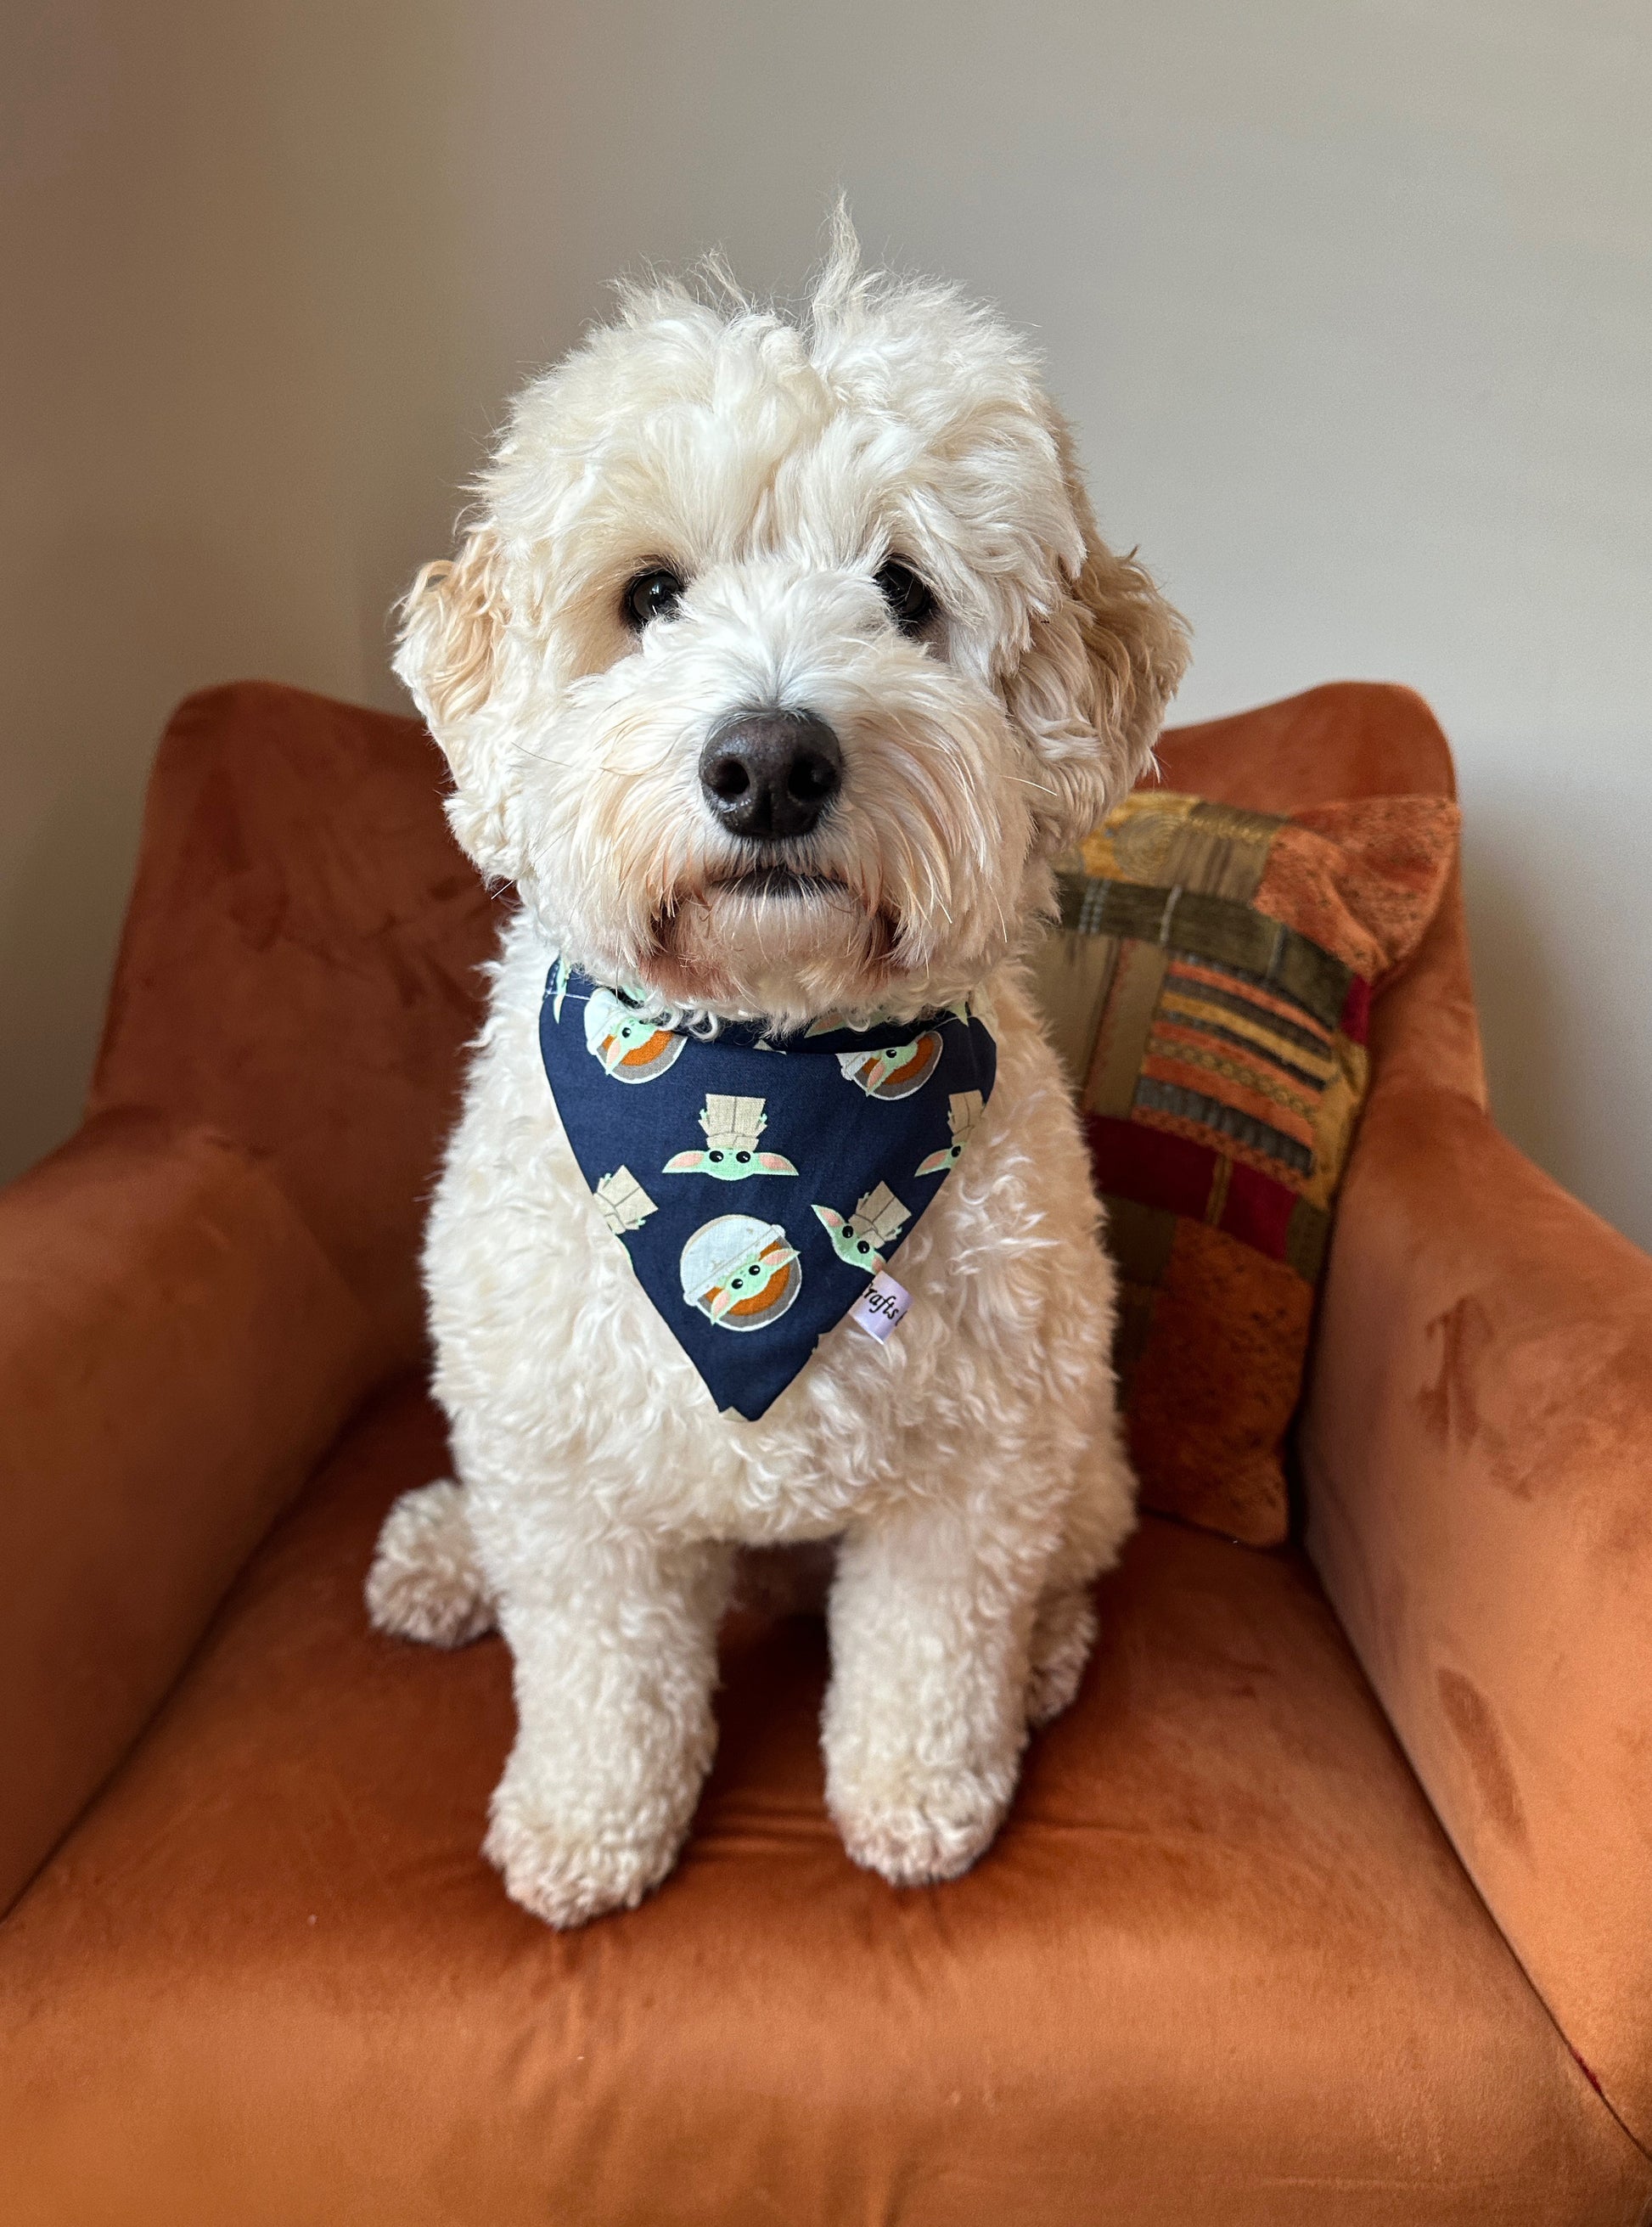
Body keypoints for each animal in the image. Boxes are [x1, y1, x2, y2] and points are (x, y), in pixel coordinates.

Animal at [367, 230, 1184, 1932]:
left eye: (905, 592)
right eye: (648, 595)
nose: (768, 762)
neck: (767, 1061)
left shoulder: (974, 1466)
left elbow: (929, 1654)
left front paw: (921, 1801)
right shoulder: (574, 1481)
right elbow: (598, 1674)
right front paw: (585, 1826)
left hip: (1078, 1443)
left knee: (1073, 1549)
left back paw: (1046, 1657)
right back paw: (443, 1553)